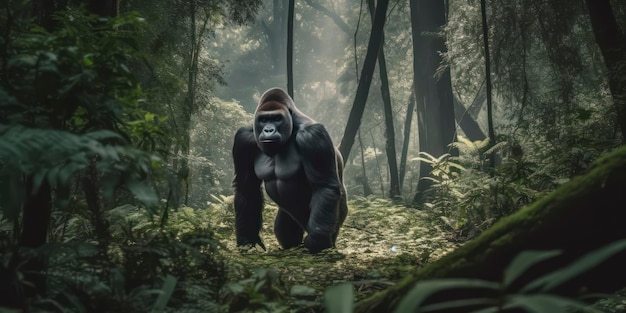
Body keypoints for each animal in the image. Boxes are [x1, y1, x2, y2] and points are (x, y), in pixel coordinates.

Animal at [230, 86, 346, 252]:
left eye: (277, 118)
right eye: (264, 120)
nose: (268, 130)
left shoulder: (313, 135)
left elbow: (323, 186)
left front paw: (317, 240)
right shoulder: (244, 139)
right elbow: (246, 187)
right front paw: (246, 238)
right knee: (286, 235)